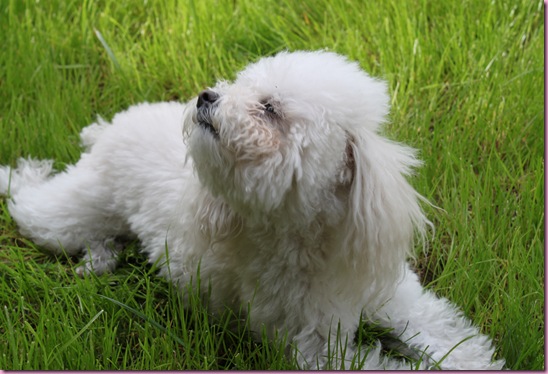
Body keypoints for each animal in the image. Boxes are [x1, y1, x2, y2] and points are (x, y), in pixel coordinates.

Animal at [1, 51, 506, 370]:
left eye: (270, 108)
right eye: (244, 89)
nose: (206, 96)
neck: (312, 240)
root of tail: (111, 128)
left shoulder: (392, 295)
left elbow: (441, 328)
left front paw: (475, 359)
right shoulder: (314, 349)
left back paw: (100, 260)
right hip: (67, 214)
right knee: (28, 201)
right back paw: (21, 176)